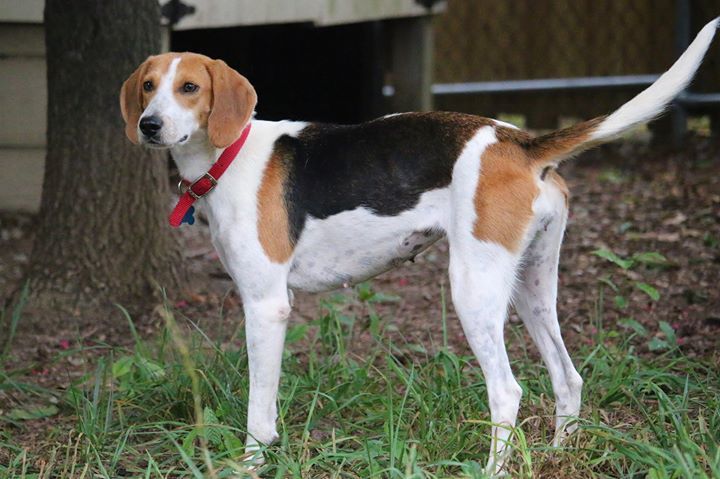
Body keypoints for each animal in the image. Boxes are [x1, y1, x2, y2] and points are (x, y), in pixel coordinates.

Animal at [121, 19, 716, 476]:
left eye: (190, 88)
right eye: (148, 85)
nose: (149, 125)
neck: (228, 155)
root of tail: (519, 141)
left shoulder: (267, 307)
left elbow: (258, 413)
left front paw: (250, 465)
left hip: (473, 290)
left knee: (507, 392)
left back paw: (493, 468)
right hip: (530, 286)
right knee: (567, 378)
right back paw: (555, 455)